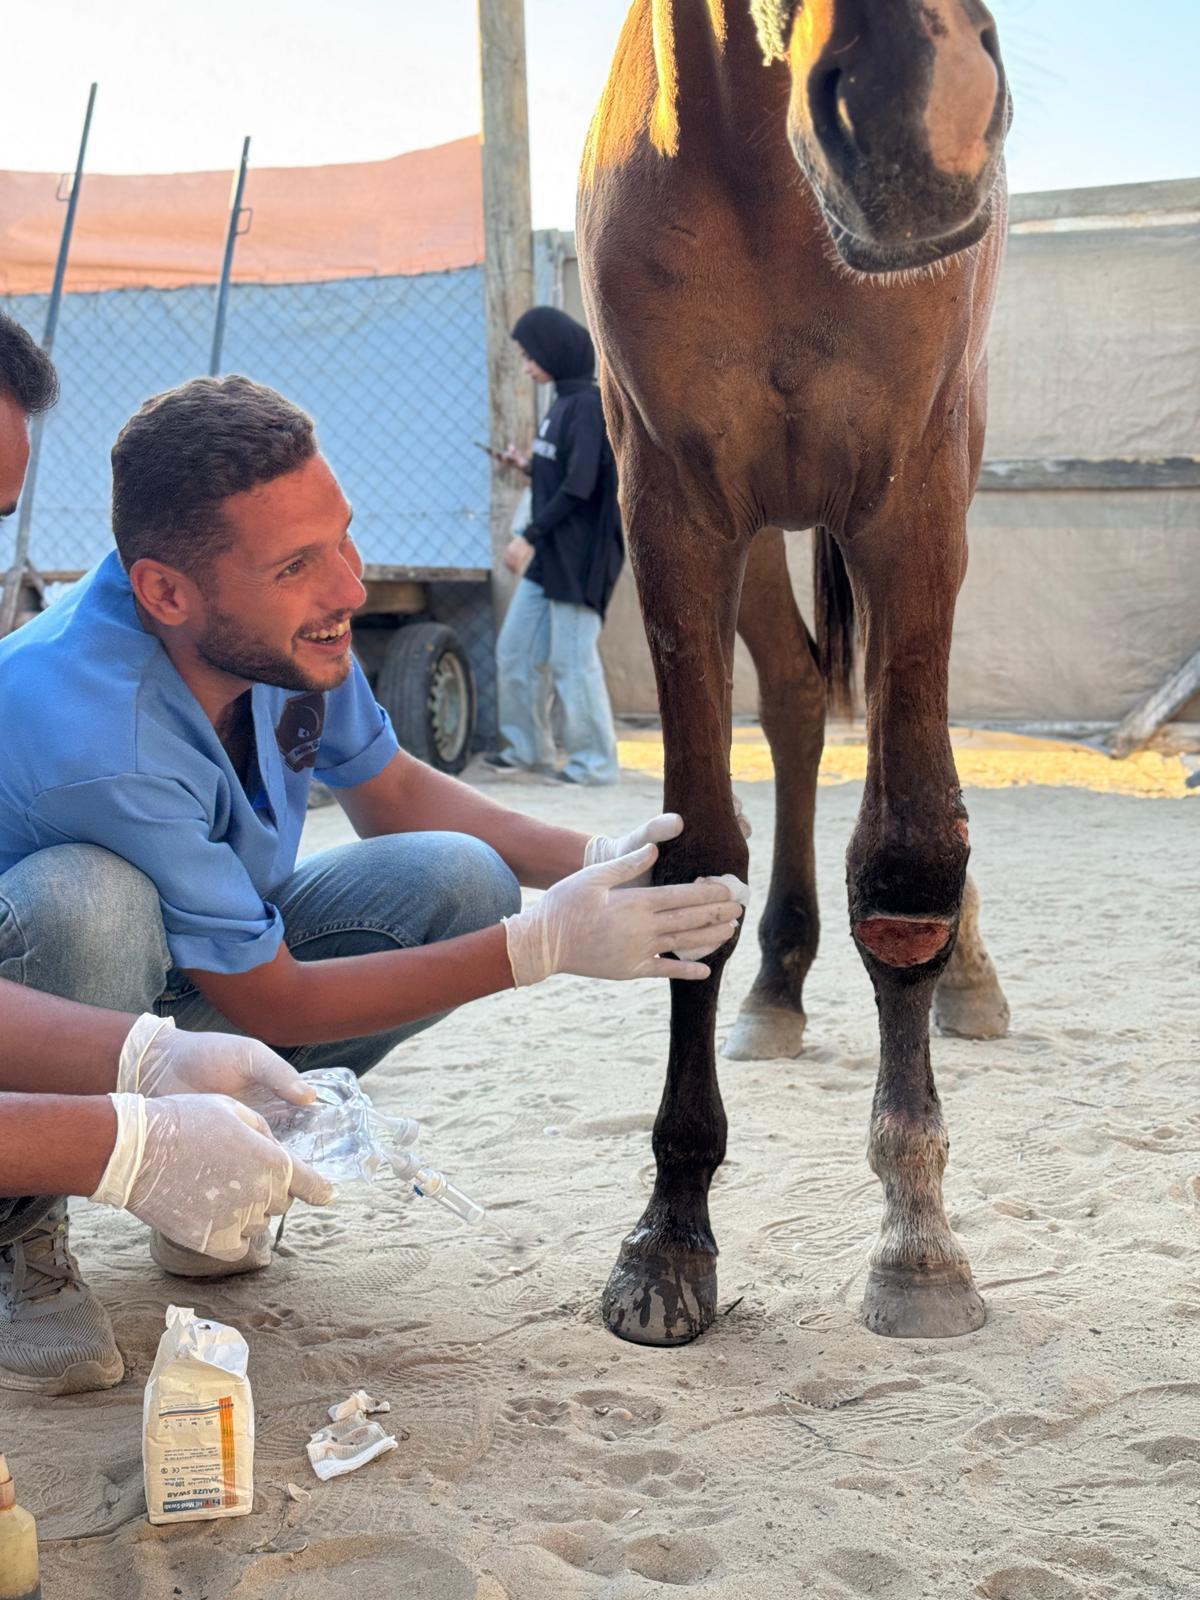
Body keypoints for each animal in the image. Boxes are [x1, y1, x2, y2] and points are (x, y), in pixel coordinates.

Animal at [577, 0, 1013, 1346]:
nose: (922, 114)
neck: (774, 198)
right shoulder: (674, 508)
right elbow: (694, 861)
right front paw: (671, 1233)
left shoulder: (915, 496)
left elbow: (914, 846)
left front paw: (919, 1239)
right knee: (803, 696)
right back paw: (778, 981)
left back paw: (969, 979)